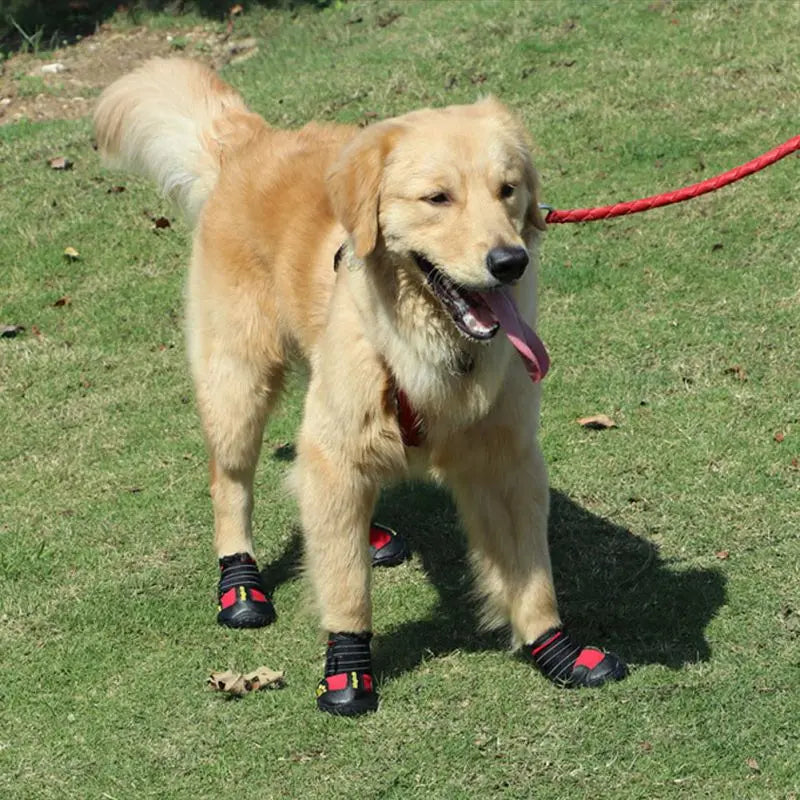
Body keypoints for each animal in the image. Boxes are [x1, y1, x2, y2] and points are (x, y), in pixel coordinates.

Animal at [94, 59, 628, 716]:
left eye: (508, 189)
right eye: (438, 198)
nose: (510, 262)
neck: (431, 352)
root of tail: (250, 140)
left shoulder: (506, 457)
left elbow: (531, 572)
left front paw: (555, 648)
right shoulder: (336, 449)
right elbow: (346, 587)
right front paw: (347, 669)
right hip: (238, 384)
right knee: (231, 483)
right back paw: (239, 582)